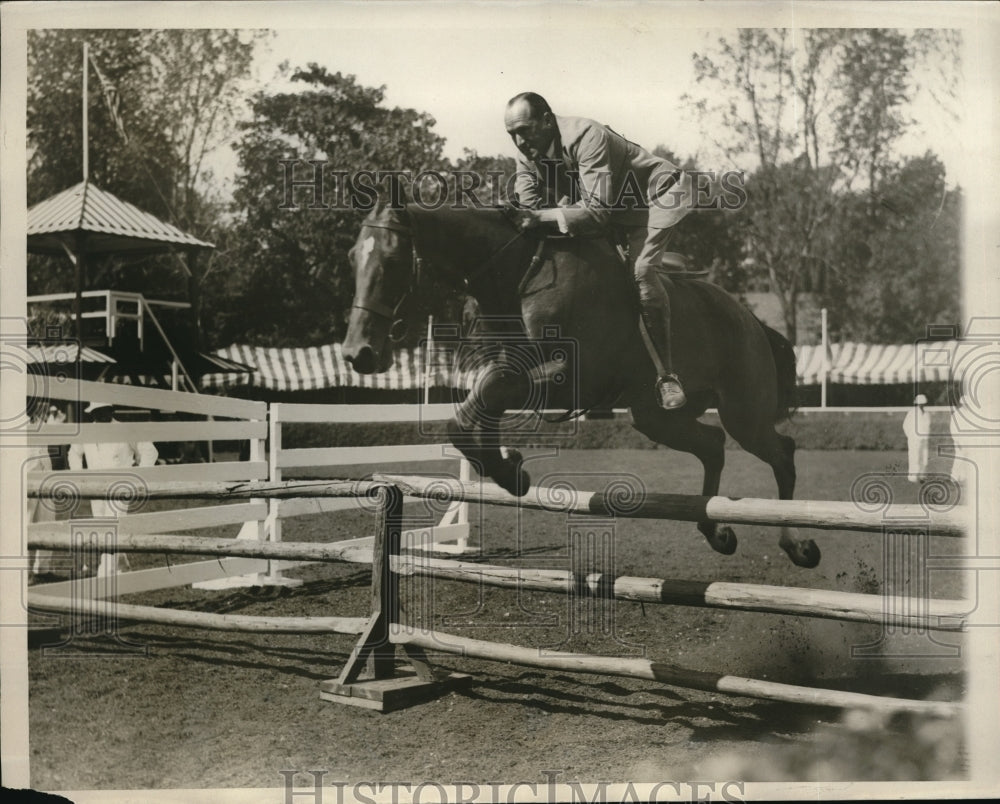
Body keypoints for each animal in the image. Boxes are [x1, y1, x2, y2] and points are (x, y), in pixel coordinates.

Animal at [344, 201, 820, 568]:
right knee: (714, 445)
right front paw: (507, 465)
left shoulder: (568, 376)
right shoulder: (508, 368)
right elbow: (471, 413)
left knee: (782, 454)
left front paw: (510, 471)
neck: (518, 272)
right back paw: (716, 531)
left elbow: (478, 408)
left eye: (392, 260)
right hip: (656, 417)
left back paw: (797, 545)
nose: (357, 352)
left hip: (745, 413)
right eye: (352, 256)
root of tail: (752, 320)